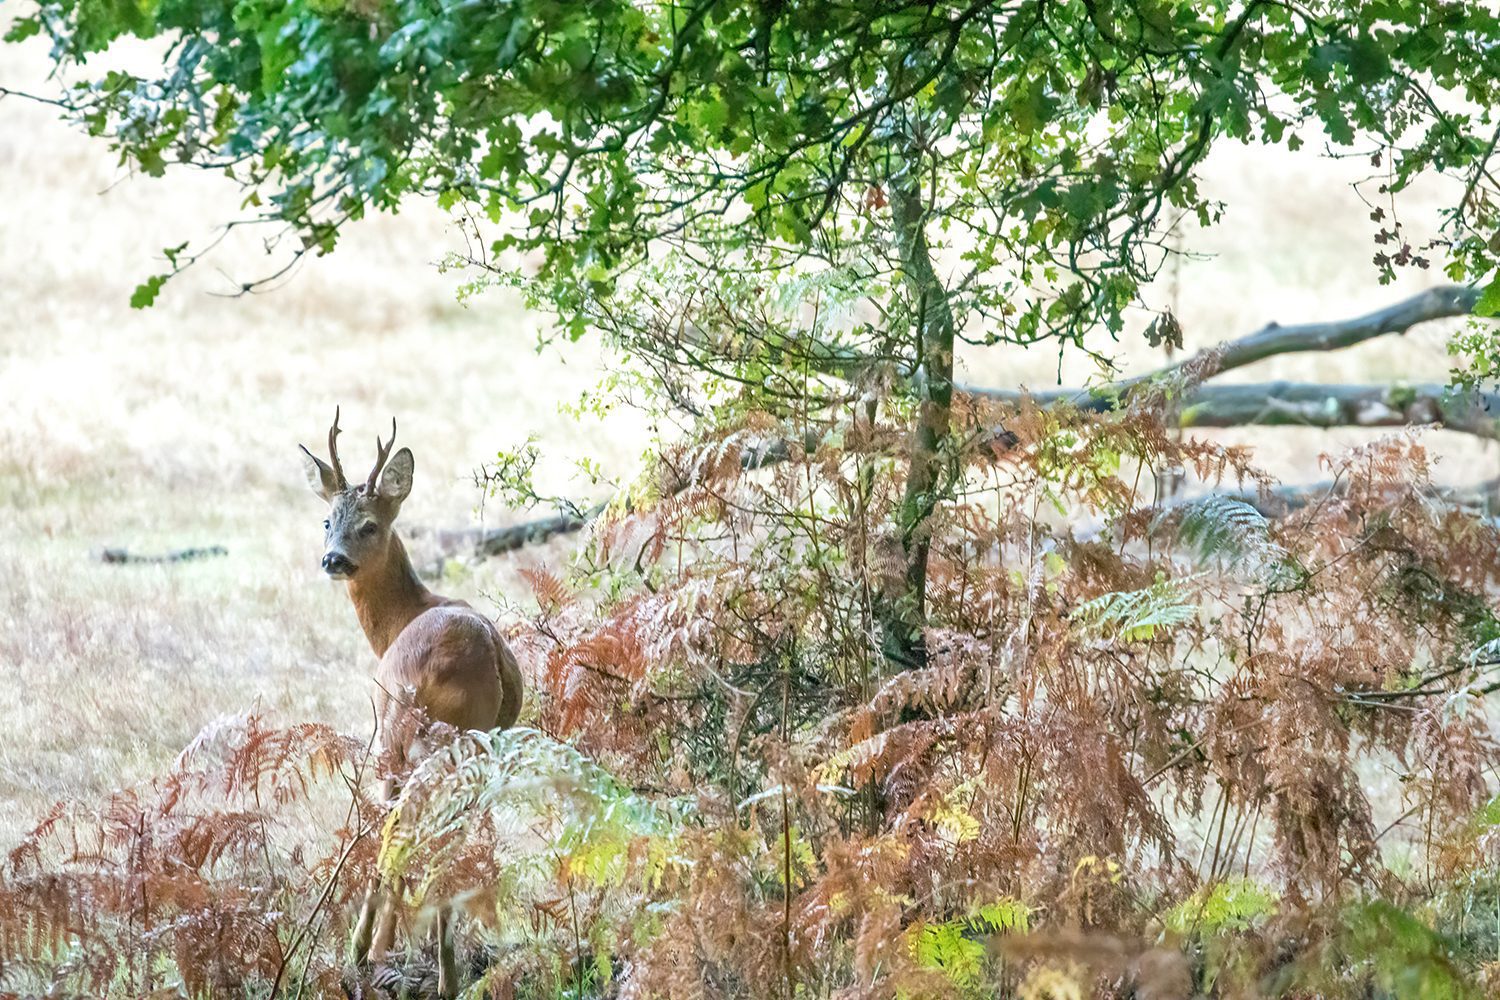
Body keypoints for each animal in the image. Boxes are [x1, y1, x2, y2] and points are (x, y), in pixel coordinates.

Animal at [297, 410, 522, 995]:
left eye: (369, 525)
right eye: (326, 521)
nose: (332, 559)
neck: (401, 617)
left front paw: (378, 946)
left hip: (399, 739)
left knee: (393, 834)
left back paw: (369, 950)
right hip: (472, 753)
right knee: (443, 845)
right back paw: (445, 971)